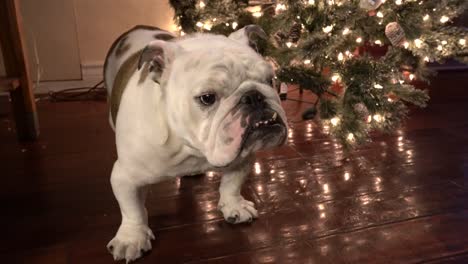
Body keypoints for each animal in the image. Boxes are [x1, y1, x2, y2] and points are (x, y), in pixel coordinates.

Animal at [105, 25, 288, 262]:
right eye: (207, 98)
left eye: (270, 80)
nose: (253, 97)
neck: (191, 149)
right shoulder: (124, 177)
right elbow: (132, 209)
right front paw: (131, 238)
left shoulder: (242, 158)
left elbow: (232, 183)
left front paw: (234, 206)